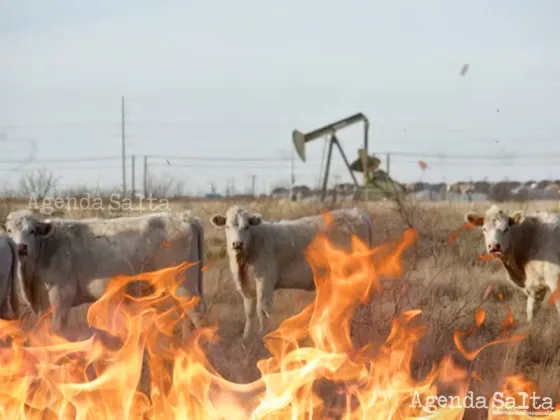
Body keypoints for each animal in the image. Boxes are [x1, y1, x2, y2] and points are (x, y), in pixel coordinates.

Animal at [4, 208, 206, 340]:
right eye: (9, 230)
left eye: (32, 231)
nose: (21, 247)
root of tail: (186, 217)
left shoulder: (61, 296)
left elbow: (57, 330)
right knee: (186, 318)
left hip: (183, 286)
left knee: (198, 316)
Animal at [208, 205, 374, 340]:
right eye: (227, 226)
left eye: (247, 226)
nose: (237, 244)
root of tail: (358, 213)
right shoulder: (246, 285)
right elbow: (249, 313)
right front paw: (246, 338)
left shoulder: (265, 279)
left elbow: (262, 310)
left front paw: (262, 336)